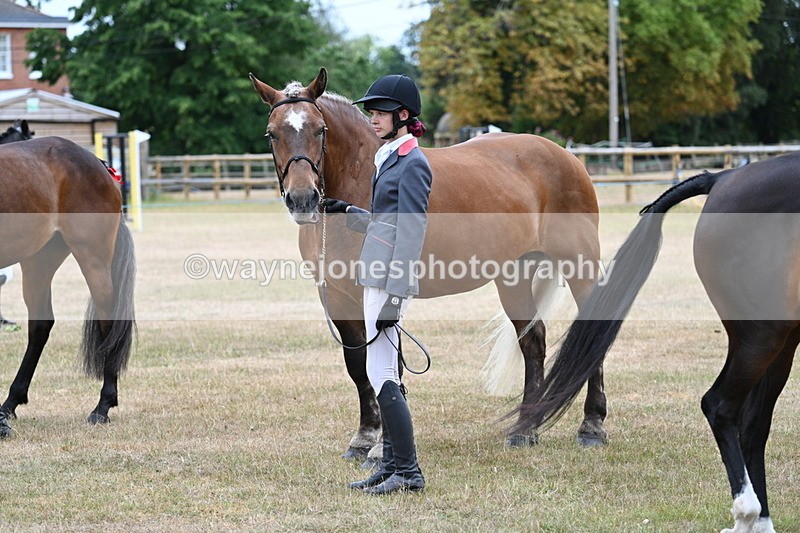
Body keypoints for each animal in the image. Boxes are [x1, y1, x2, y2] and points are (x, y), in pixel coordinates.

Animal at [0, 136, 136, 438]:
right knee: (40, 326)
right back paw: (9, 404)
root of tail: (100, 165)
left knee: (107, 320)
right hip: (38, 261)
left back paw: (102, 406)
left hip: (93, 257)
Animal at [249, 67, 607, 460]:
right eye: (272, 133)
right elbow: (359, 368)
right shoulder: (338, 299)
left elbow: (388, 367)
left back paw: (592, 426)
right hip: (513, 275)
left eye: (320, 129)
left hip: (579, 264)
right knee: (533, 341)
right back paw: (525, 429)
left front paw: (382, 448)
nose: (303, 199)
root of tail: (566, 155)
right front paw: (364, 438)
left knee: (593, 335)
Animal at [510, 153, 800, 532]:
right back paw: (748, 513)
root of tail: (722, 178)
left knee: (752, 423)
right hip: (763, 335)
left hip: (782, 340)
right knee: (721, 406)